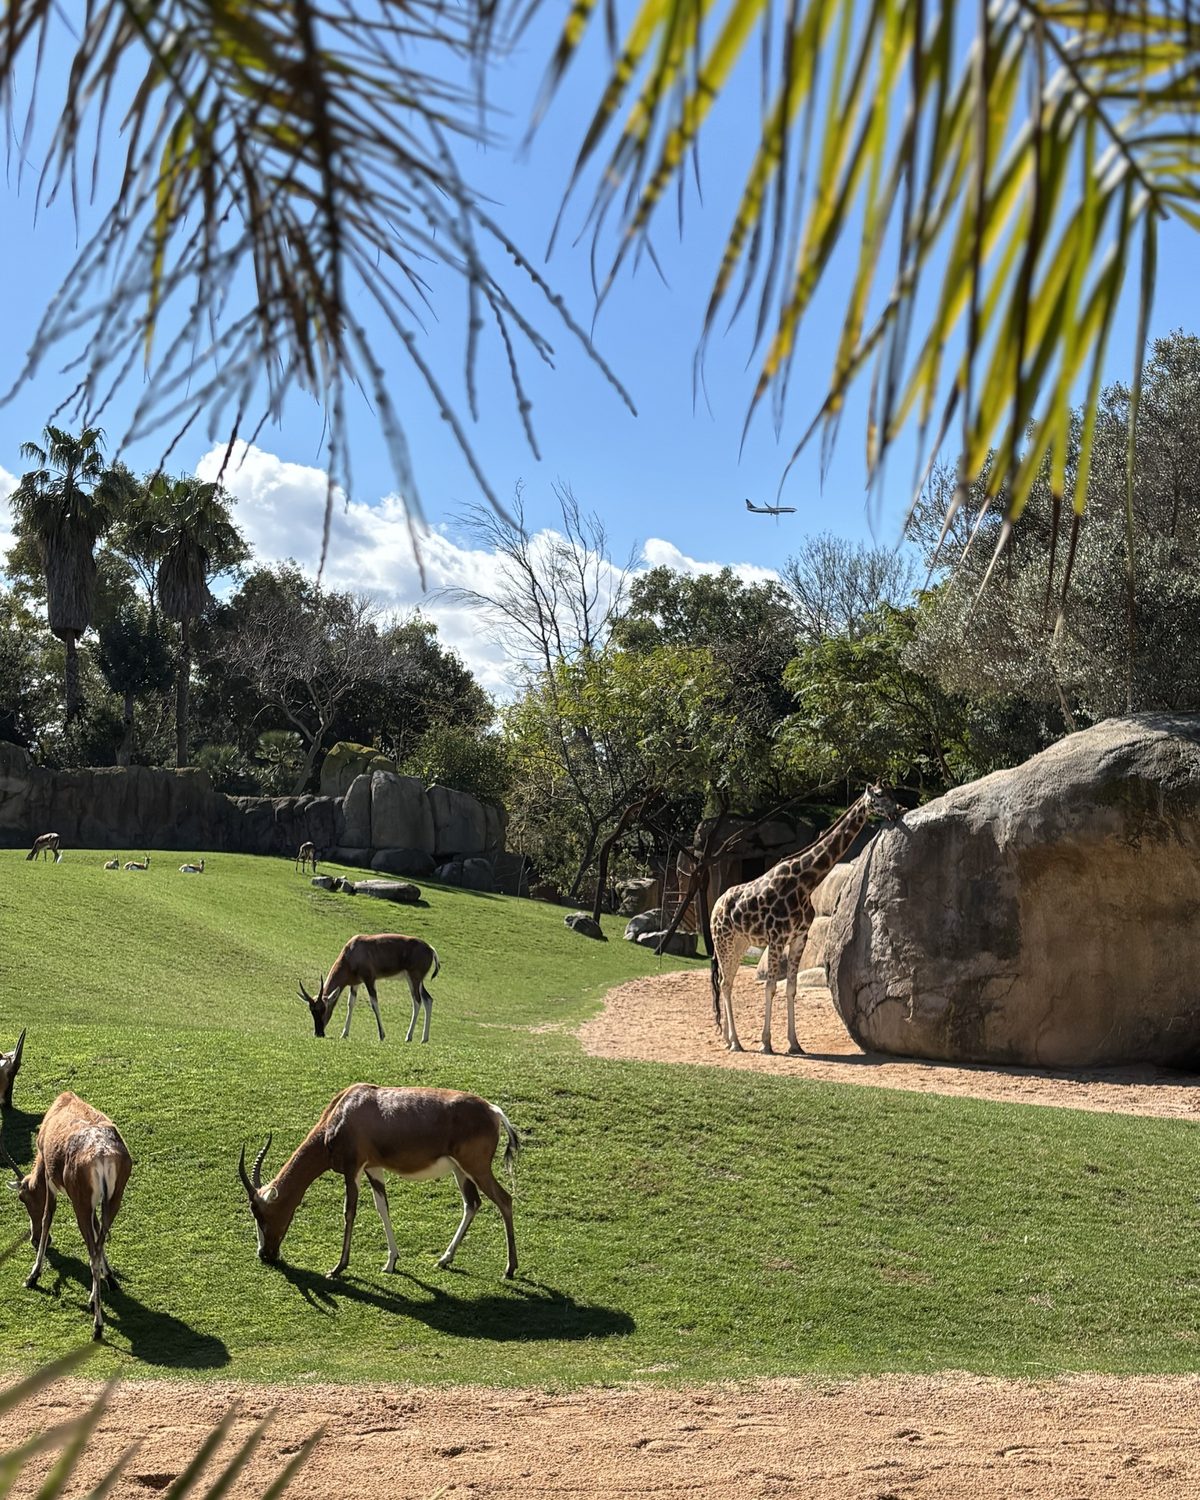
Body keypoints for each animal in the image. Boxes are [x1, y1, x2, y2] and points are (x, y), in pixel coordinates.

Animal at [709, 785, 902, 1054]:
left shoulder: (799, 937)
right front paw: (766, 1043)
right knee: (725, 983)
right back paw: (735, 1042)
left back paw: (729, 1040)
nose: (899, 809)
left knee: (726, 982)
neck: (805, 881)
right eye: (880, 795)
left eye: (891, 793)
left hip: (739, 943)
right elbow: (770, 987)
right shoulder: (777, 938)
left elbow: (791, 988)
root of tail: (715, 907)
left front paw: (794, 1043)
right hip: (723, 941)